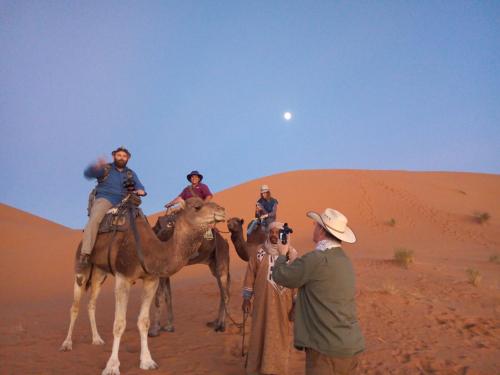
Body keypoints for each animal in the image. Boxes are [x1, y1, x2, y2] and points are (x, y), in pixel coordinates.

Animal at [58, 197, 225, 375]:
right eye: (197, 207)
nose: (222, 210)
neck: (151, 251)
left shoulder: (151, 280)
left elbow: (144, 321)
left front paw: (147, 361)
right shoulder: (123, 277)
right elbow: (119, 324)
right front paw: (112, 366)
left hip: (99, 272)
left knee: (91, 303)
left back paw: (97, 339)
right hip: (81, 267)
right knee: (75, 306)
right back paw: (67, 344)